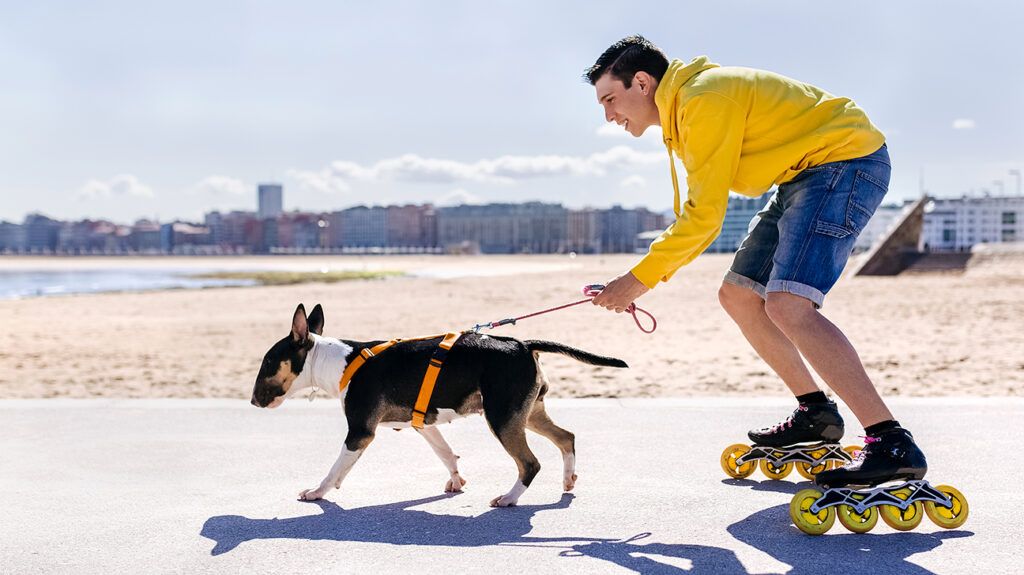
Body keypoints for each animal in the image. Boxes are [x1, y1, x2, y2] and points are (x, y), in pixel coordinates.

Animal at [251, 302, 626, 503]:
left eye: (268, 362)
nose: (253, 401)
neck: (339, 362)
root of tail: (521, 344)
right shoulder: (423, 424)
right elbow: (445, 453)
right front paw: (457, 481)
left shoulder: (359, 432)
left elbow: (335, 468)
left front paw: (317, 492)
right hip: (528, 412)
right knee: (566, 438)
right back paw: (568, 481)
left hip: (502, 418)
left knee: (529, 463)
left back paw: (509, 499)